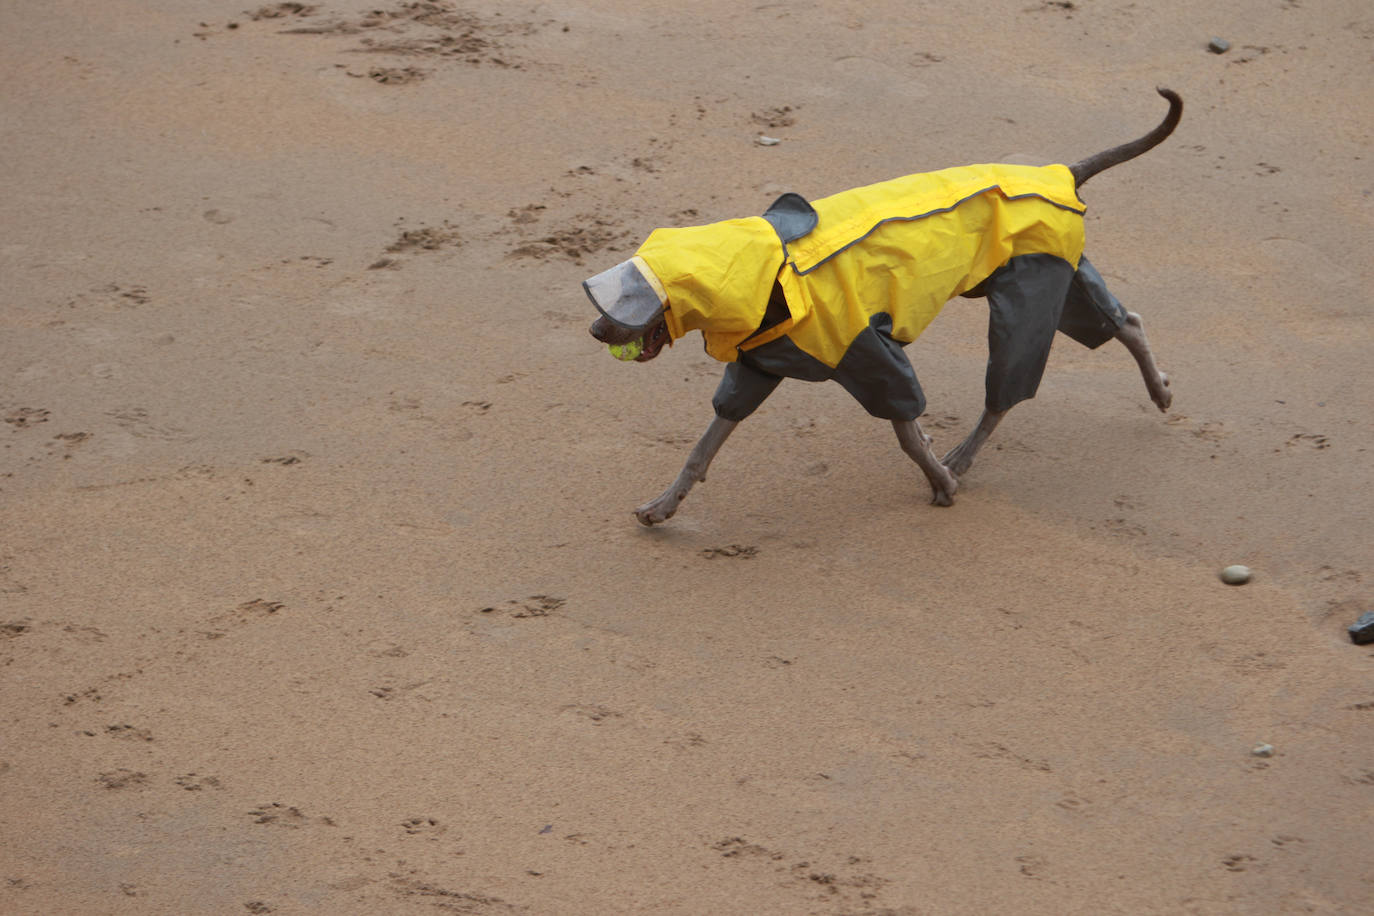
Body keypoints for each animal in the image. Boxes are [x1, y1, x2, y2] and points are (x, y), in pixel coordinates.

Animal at [585, 91, 1176, 530]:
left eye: (630, 300)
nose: (593, 328)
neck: (774, 276)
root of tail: (1062, 173)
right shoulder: (755, 370)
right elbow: (702, 449)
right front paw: (662, 506)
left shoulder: (874, 358)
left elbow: (908, 434)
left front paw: (941, 482)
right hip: (1056, 278)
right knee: (1125, 322)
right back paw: (1160, 391)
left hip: (1029, 295)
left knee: (1005, 392)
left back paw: (962, 458)